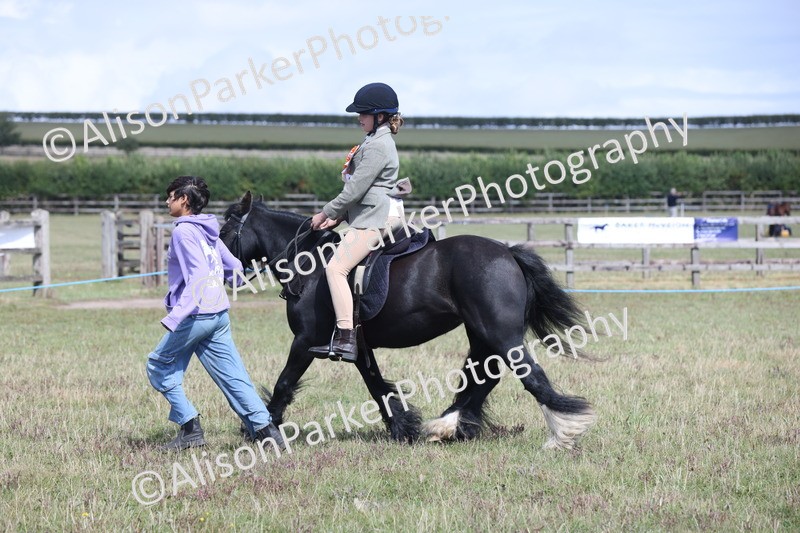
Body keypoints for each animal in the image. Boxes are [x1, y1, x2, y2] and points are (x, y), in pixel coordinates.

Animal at [220, 191, 596, 449]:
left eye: (223, 231)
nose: (223, 275)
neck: (310, 264)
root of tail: (507, 253)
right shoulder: (358, 346)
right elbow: (377, 388)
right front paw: (403, 429)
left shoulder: (306, 341)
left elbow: (284, 383)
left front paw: (264, 431)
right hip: (482, 333)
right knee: (483, 376)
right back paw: (447, 426)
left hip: (499, 333)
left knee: (529, 376)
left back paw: (563, 433)